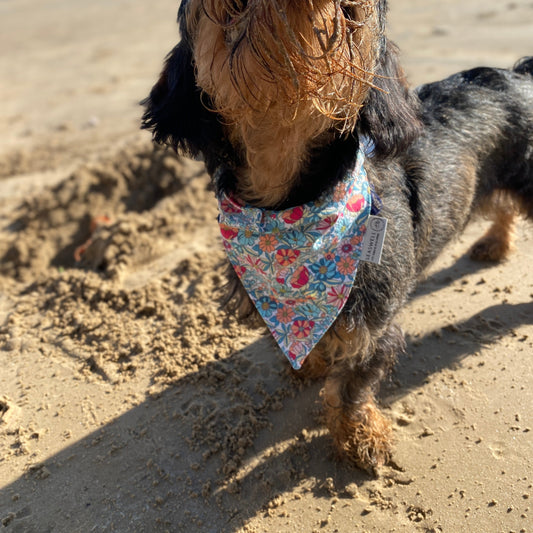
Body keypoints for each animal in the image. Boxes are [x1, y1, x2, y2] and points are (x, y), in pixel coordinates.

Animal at [142, 1, 532, 474]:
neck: (290, 206)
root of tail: (521, 73)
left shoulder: (371, 324)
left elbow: (351, 387)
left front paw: (360, 437)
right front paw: (310, 363)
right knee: (503, 206)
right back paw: (495, 243)